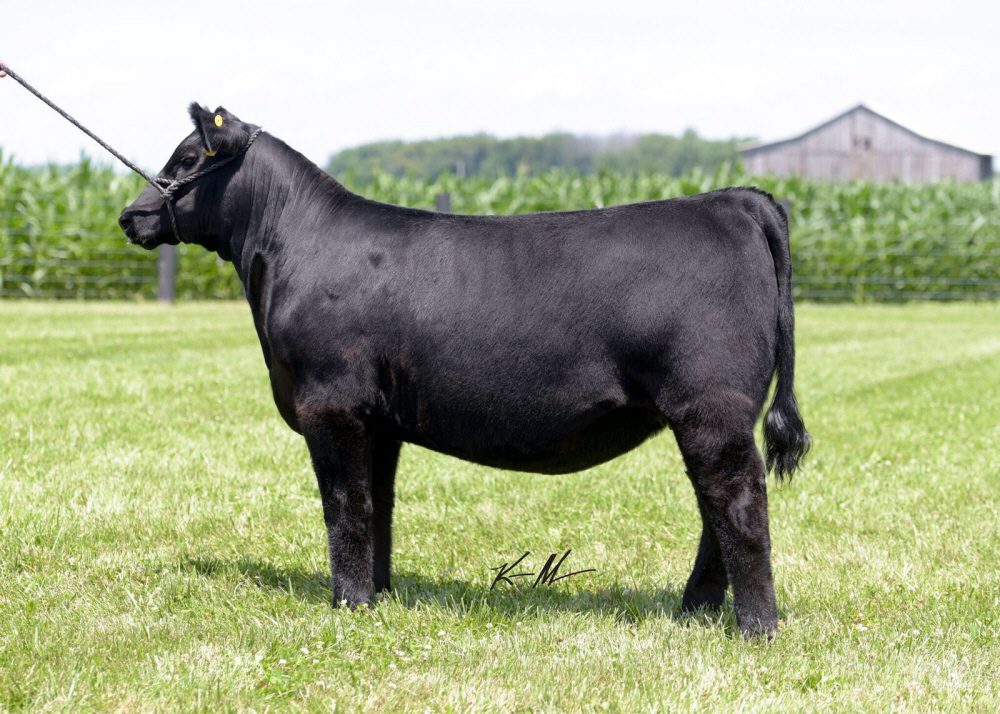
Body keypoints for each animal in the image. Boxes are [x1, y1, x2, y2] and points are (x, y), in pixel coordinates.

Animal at [118, 104, 810, 638]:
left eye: (187, 159)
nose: (131, 215)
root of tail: (734, 201)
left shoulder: (331, 401)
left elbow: (345, 505)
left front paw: (347, 604)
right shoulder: (378, 419)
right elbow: (378, 504)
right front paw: (378, 594)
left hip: (710, 406)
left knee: (737, 503)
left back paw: (757, 628)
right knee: (713, 510)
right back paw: (693, 613)